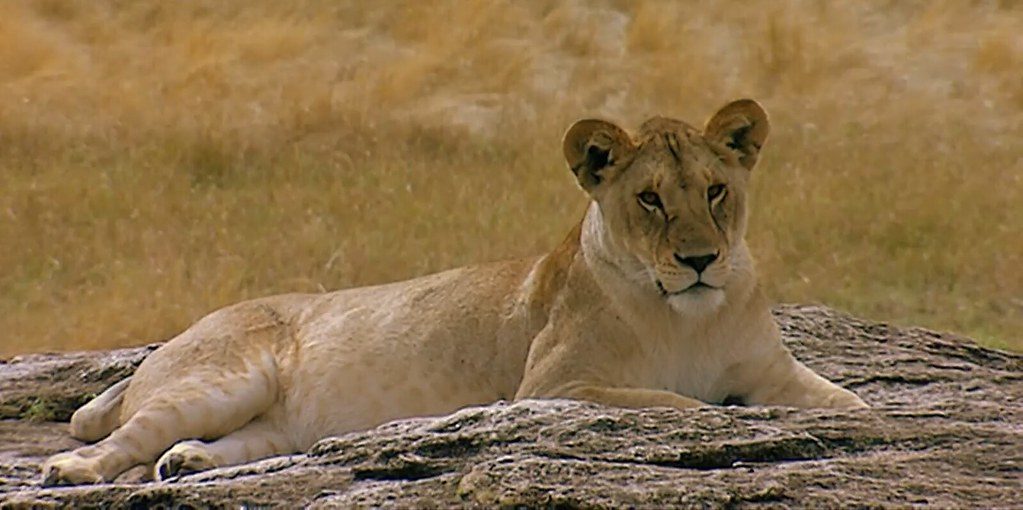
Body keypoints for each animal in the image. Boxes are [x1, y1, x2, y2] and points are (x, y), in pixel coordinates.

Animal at [41, 99, 867, 486]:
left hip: (274, 429)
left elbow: (852, 408)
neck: (689, 316)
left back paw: (187, 465)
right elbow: (681, 405)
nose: (699, 260)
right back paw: (73, 470)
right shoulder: (553, 386)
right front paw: (721, 415)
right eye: (651, 200)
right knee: (122, 436)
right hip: (219, 378)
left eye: (715, 190)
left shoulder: (773, 372)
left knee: (217, 443)